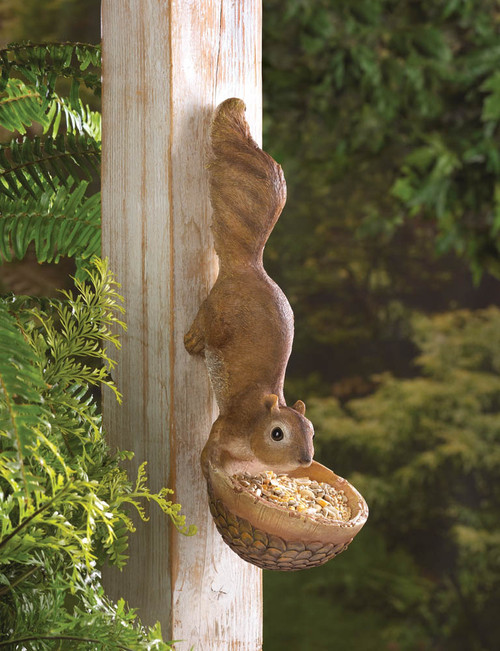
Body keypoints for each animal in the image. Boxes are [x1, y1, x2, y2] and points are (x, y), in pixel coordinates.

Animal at [184, 98, 315, 477]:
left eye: (312, 431)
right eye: (277, 434)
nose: (306, 459)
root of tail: (249, 268)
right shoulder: (228, 425)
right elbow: (210, 448)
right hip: (218, 312)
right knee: (205, 323)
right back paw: (193, 340)